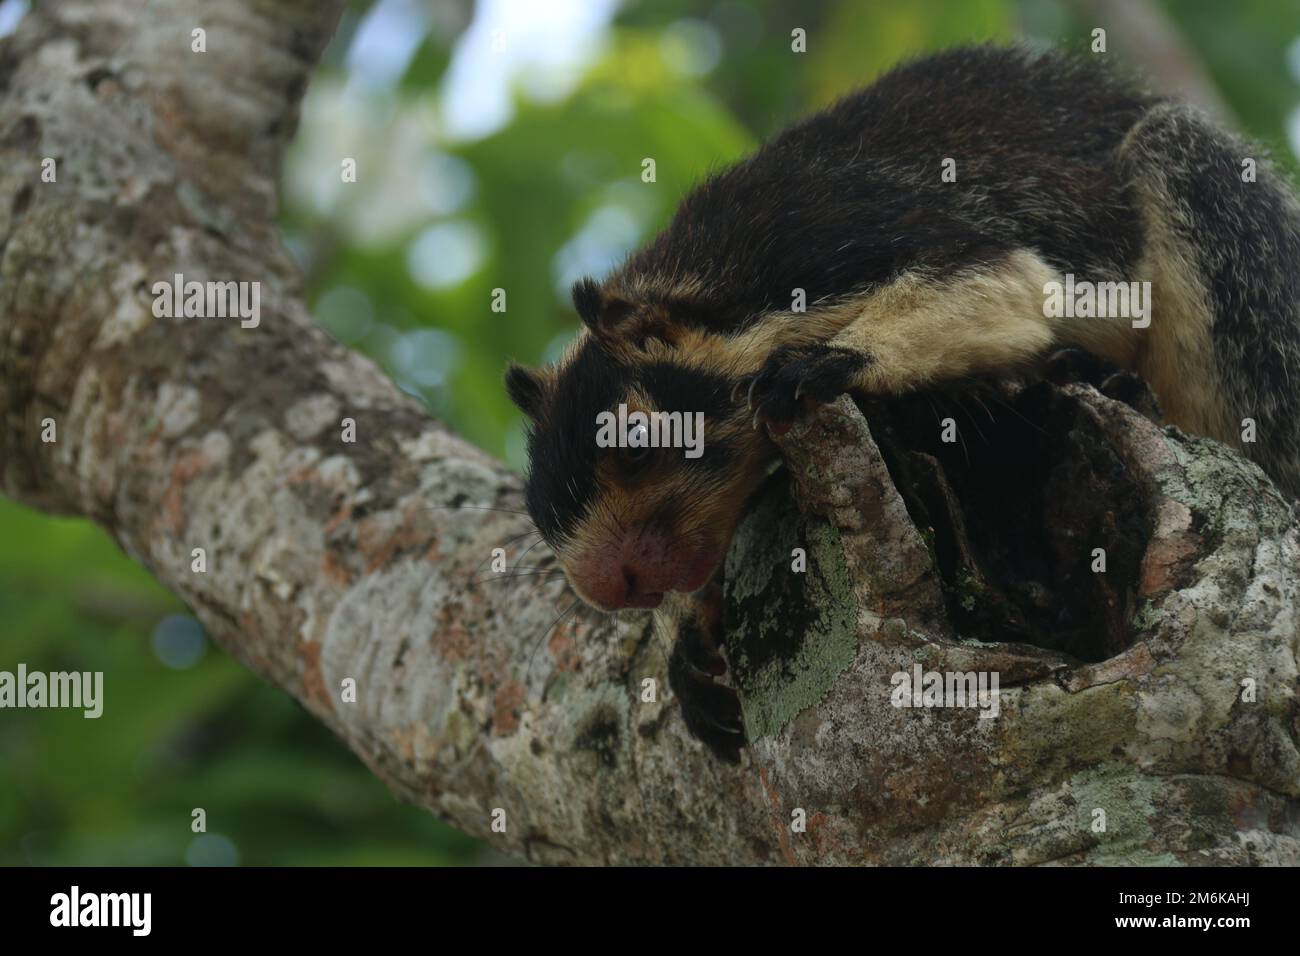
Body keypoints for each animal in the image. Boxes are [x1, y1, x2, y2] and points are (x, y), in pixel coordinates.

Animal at [504, 45, 1300, 762]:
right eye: (539, 511)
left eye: (638, 446)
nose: (610, 586)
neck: (716, 290)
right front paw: (688, 646)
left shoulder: (836, 236)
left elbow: (1006, 282)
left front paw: (829, 363)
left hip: (1220, 225)